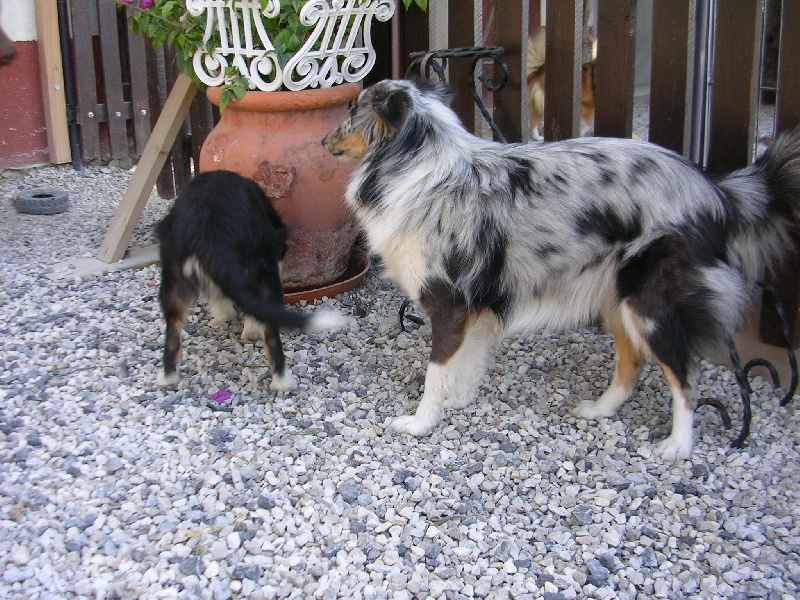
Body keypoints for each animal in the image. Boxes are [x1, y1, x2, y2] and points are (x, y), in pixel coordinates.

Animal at [156, 171, 344, 392]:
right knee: (271, 334)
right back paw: (282, 381)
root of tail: (208, 226)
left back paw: (167, 377)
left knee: (172, 335)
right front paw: (249, 329)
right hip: (265, 272)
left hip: (172, 277)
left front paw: (224, 315)